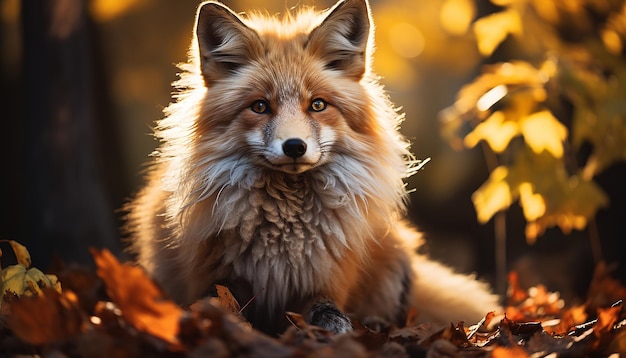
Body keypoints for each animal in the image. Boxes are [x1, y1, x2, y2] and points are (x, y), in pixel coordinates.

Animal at [124, 0, 500, 336]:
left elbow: (330, 313)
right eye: (260, 106)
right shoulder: (217, 277)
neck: (283, 230)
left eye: (317, 105)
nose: (294, 147)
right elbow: (215, 305)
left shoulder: (325, 280)